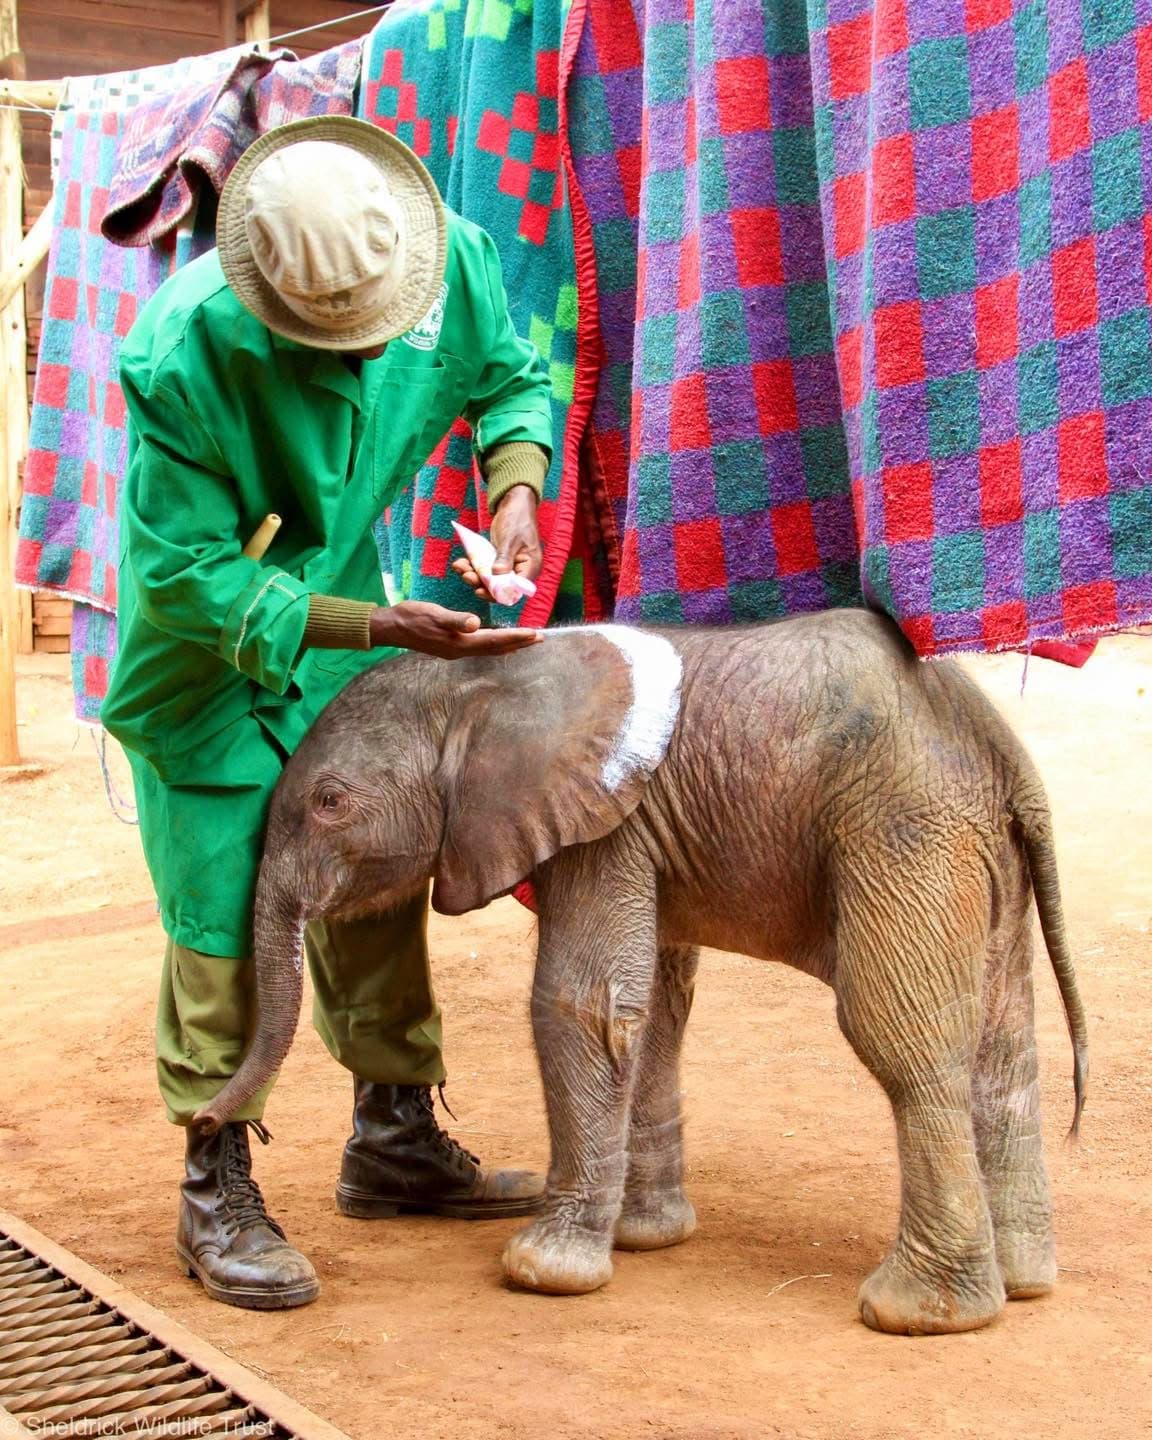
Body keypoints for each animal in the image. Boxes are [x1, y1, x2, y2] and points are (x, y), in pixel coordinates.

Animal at [196, 609, 1087, 1336]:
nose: (204, 1118)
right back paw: (1026, 1283)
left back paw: (921, 1315)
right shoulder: (638, 829)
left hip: (904, 832)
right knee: (1006, 1052)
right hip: (976, 853)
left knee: (908, 1046)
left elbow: (582, 1004)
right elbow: (655, 1006)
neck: (482, 680)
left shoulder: (604, 824)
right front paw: (644, 1238)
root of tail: (1006, 754)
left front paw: (543, 1271)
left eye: (330, 804)